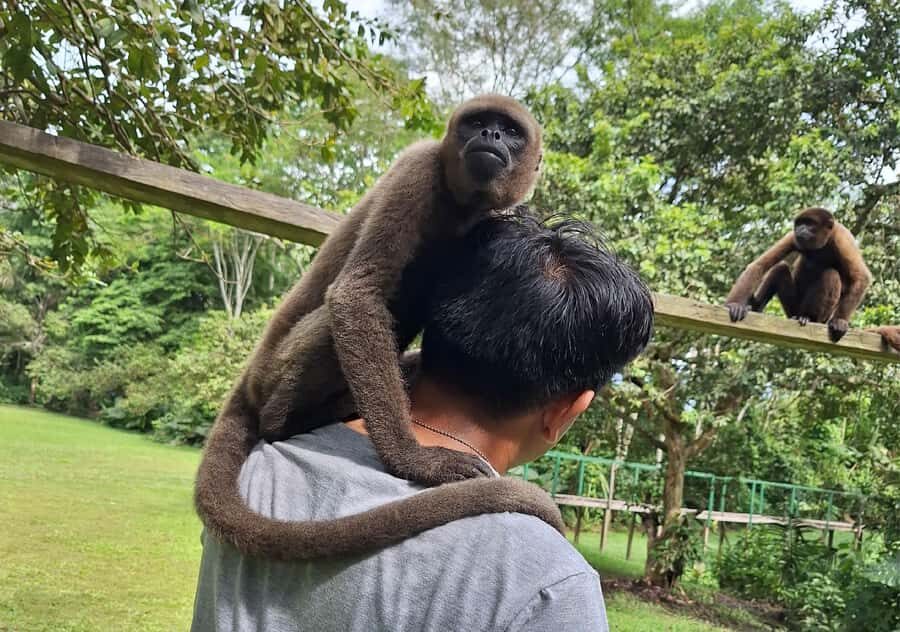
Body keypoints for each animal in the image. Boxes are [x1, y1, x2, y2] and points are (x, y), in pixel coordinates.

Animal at [724, 207, 872, 342]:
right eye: (800, 223)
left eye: (809, 223)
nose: (800, 228)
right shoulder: (793, 237)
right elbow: (759, 265)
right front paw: (734, 304)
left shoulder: (842, 239)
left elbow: (861, 277)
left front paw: (839, 321)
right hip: (792, 308)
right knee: (780, 268)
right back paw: (756, 306)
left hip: (822, 316)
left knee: (831, 274)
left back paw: (808, 317)